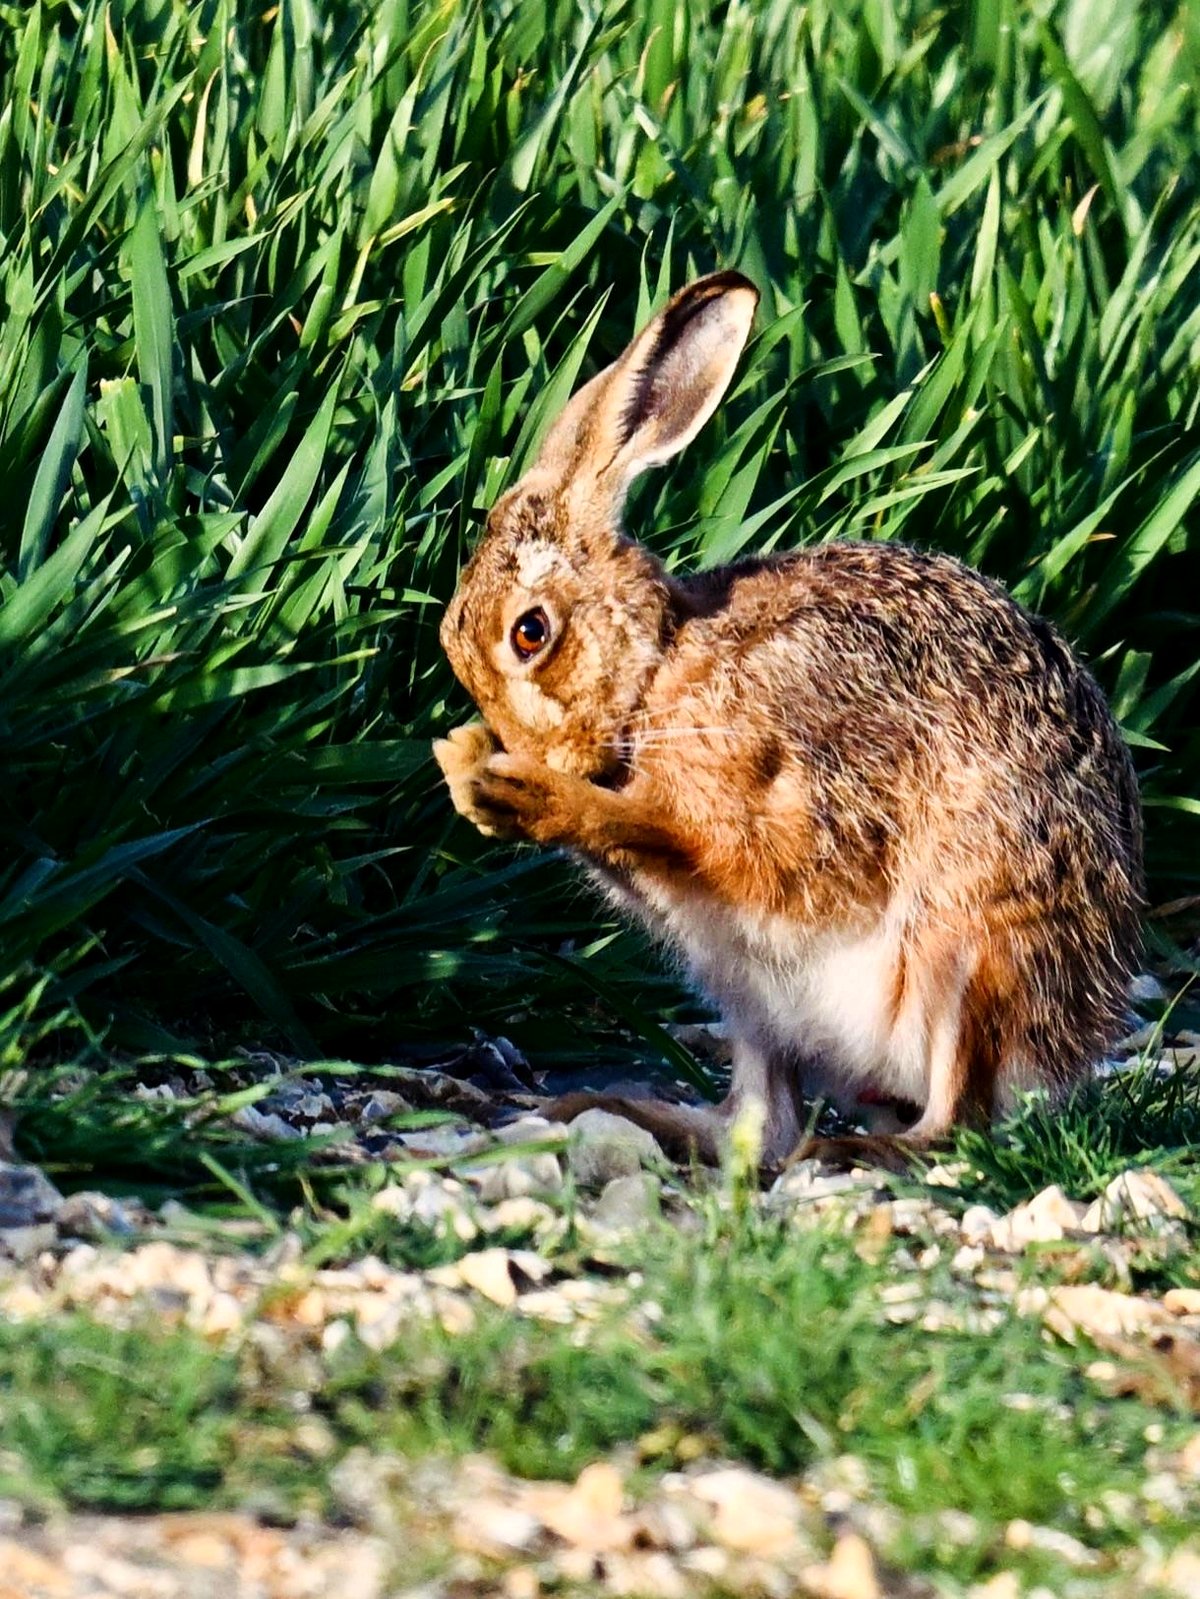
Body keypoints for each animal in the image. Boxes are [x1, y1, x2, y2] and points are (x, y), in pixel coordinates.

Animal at [433, 270, 1143, 1172]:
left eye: (531, 633)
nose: (532, 754)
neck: (658, 671)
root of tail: (1072, 1037)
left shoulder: (801, 782)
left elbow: (729, 847)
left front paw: (531, 795)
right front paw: (475, 774)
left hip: (969, 947)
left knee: (959, 1116)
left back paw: (856, 1150)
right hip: (750, 999)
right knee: (761, 1119)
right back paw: (608, 1108)